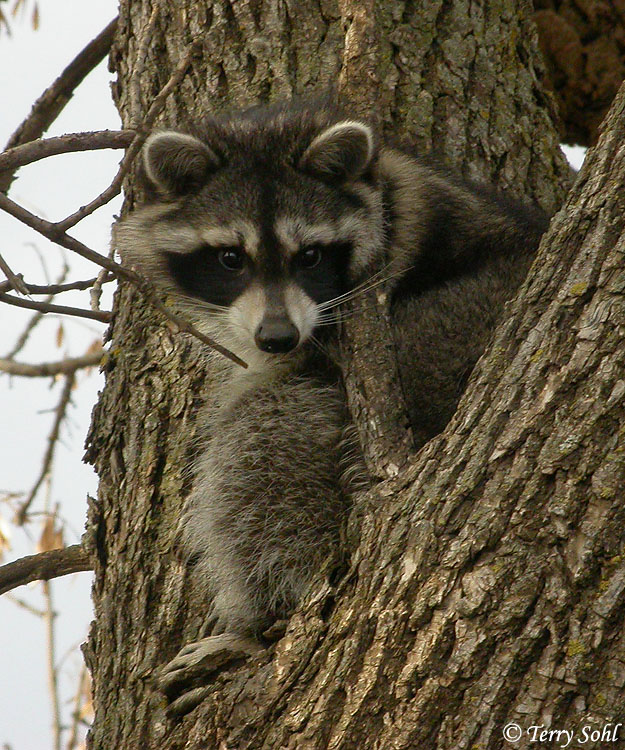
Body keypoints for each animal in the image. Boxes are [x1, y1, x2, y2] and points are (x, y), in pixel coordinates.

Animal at [115, 100, 547, 702]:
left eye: (311, 256)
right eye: (230, 258)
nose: (278, 338)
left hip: (447, 337)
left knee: (265, 435)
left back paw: (260, 620)